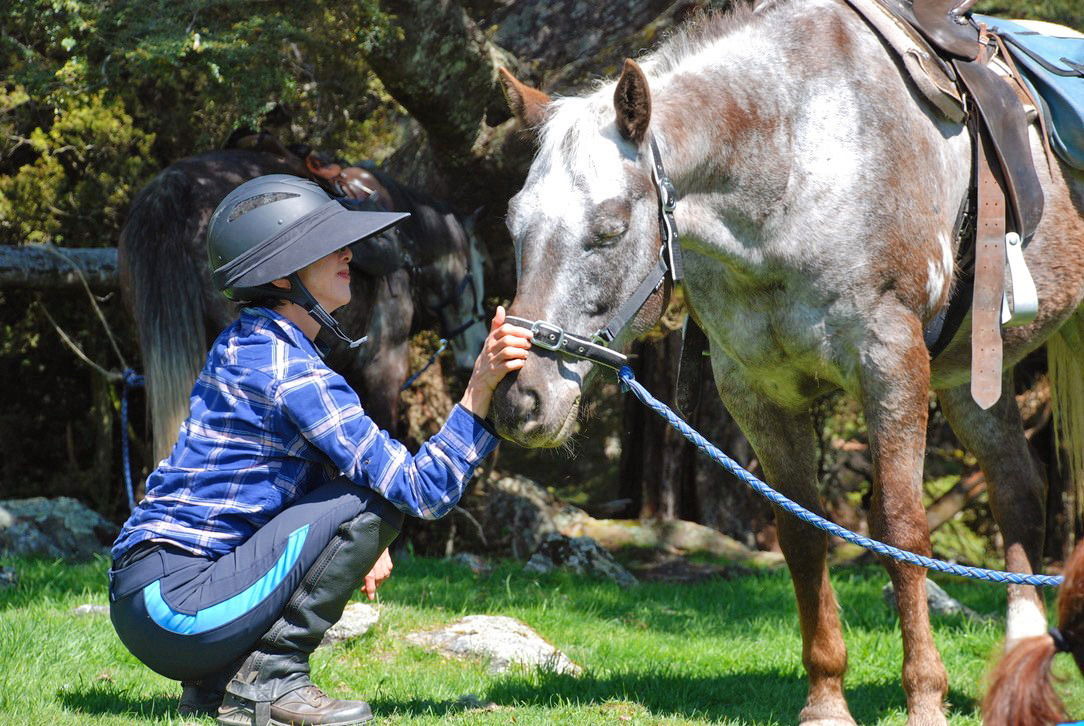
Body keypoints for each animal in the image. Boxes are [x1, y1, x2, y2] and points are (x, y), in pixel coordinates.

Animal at [490, 1, 1084, 723]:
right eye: (514, 224)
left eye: (608, 229)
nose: (521, 401)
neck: (799, 154)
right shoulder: (757, 391)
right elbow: (801, 534)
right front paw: (826, 700)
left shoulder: (891, 364)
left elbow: (902, 531)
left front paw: (925, 697)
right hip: (974, 380)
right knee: (1018, 491)